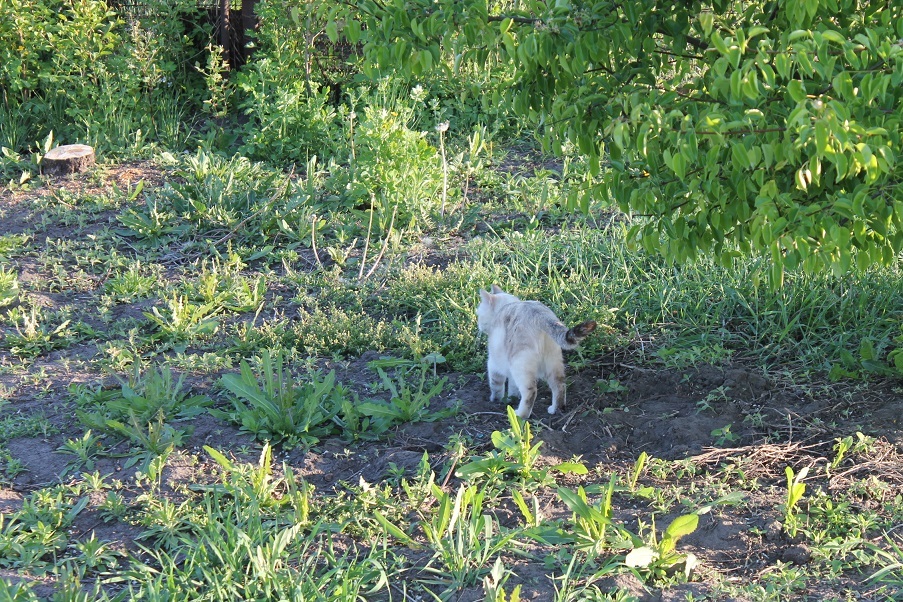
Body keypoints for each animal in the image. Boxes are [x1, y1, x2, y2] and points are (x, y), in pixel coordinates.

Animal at [476, 284, 596, 418]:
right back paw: (555, 410)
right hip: (553, 363)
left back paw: (520, 415)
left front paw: (496, 400)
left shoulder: (494, 364)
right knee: (559, 385)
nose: (478, 325)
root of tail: (539, 315)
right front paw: (512, 398)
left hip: (519, 365)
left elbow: (496, 385)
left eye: (478, 314)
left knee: (531, 391)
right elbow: (513, 387)